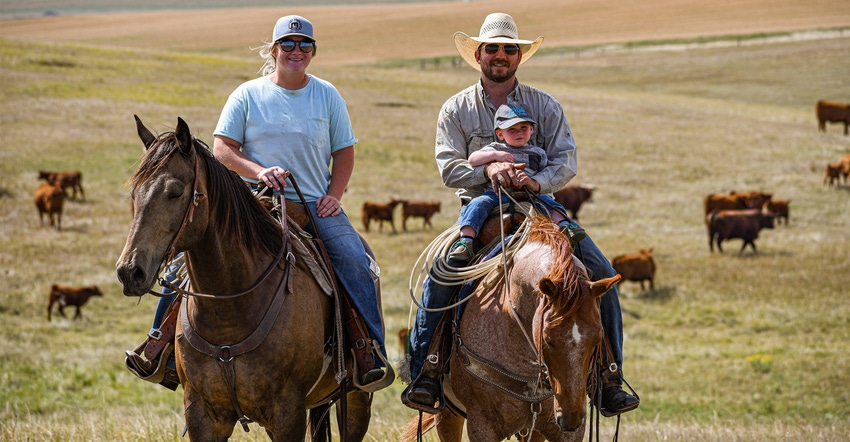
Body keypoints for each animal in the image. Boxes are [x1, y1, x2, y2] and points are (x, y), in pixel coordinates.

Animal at [115, 115, 372, 440]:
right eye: (134, 193)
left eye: (175, 192)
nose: (129, 271)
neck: (229, 310)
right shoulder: (201, 414)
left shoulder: (288, 414)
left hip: (355, 399)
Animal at [400, 218, 620, 442]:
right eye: (547, 340)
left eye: (597, 340)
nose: (571, 418)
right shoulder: (481, 425)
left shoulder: (566, 429)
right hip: (447, 412)